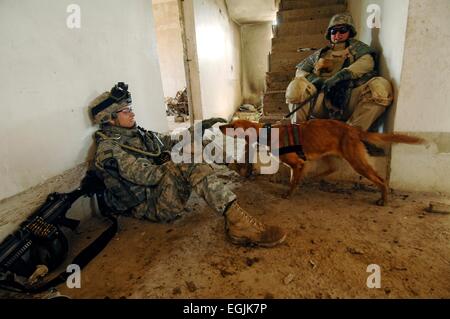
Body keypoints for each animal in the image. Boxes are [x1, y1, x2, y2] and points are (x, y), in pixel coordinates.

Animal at [220, 119, 424, 206]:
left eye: (232, 126)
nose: (219, 125)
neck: (269, 132)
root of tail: (354, 130)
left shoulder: (297, 164)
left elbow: (292, 182)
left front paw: (289, 194)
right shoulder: (300, 164)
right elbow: (296, 178)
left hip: (357, 162)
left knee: (381, 180)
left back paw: (384, 199)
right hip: (331, 155)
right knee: (331, 169)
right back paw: (314, 178)